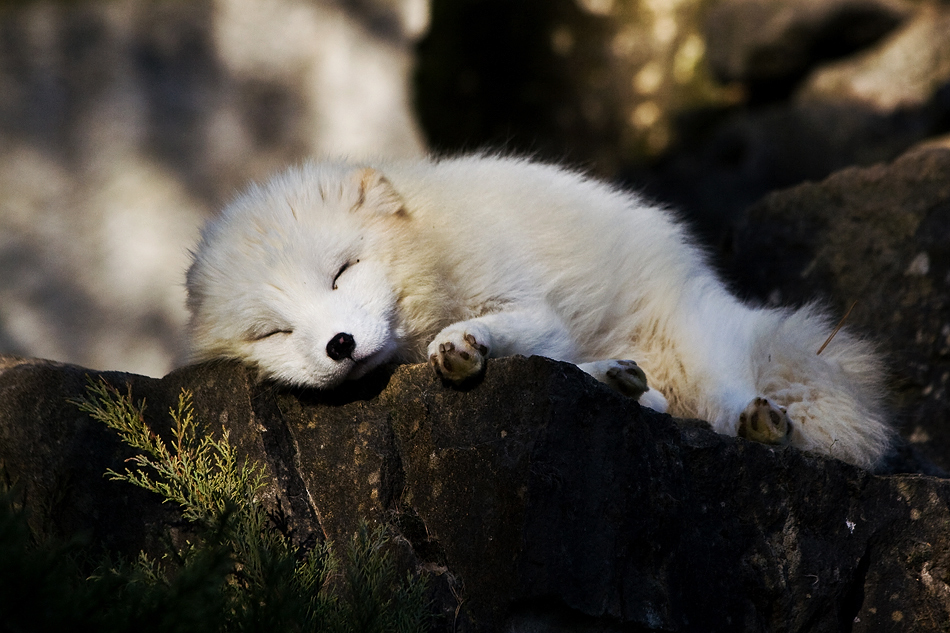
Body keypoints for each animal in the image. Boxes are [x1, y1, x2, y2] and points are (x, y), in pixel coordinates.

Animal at [186, 154, 892, 470]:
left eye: (341, 271)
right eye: (274, 331)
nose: (338, 344)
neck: (436, 237)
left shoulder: (532, 304)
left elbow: (511, 330)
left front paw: (462, 342)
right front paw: (462, 349)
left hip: (703, 346)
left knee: (726, 402)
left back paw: (758, 421)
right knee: (647, 396)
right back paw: (622, 381)